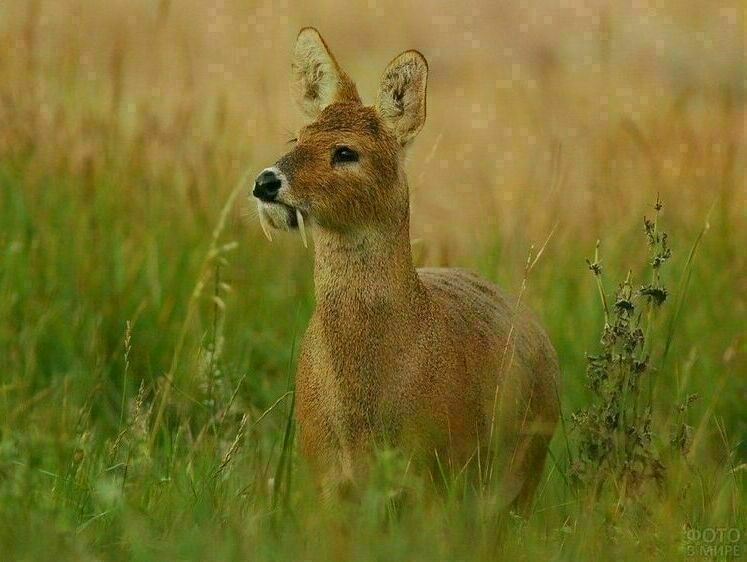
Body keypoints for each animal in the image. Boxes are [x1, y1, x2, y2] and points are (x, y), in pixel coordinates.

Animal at [253, 26, 560, 508]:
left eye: (346, 152)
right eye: (296, 139)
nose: (265, 182)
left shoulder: (433, 468)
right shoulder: (321, 471)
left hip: (523, 467)